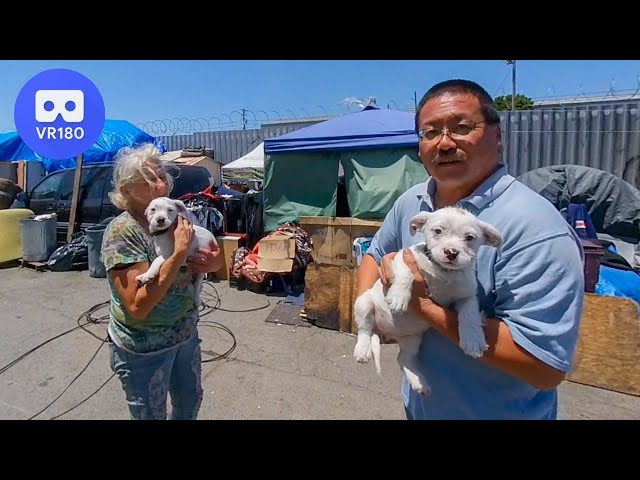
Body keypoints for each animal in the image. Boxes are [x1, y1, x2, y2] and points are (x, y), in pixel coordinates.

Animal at [352, 208, 502, 396]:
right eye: (437, 231)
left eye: (469, 237)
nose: (451, 252)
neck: (444, 272)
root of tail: (384, 332)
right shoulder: (402, 257)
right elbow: (407, 272)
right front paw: (399, 296)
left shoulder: (467, 296)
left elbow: (469, 314)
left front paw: (473, 339)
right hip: (364, 303)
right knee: (364, 328)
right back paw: (362, 350)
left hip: (413, 338)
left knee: (403, 358)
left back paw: (419, 382)